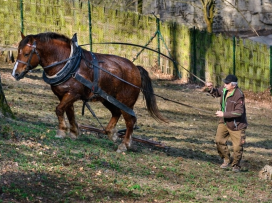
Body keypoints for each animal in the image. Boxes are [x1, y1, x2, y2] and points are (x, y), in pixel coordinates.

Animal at [12, 31, 166, 152]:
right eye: (18, 52)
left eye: (26, 53)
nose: (15, 73)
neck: (68, 62)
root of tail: (136, 69)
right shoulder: (64, 95)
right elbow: (69, 112)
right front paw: (74, 132)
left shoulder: (73, 94)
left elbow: (59, 109)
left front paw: (61, 131)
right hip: (108, 99)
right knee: (116, 113)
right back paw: (111, 133)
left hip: (125, 102)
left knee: (130, 121)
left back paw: (124, 145)